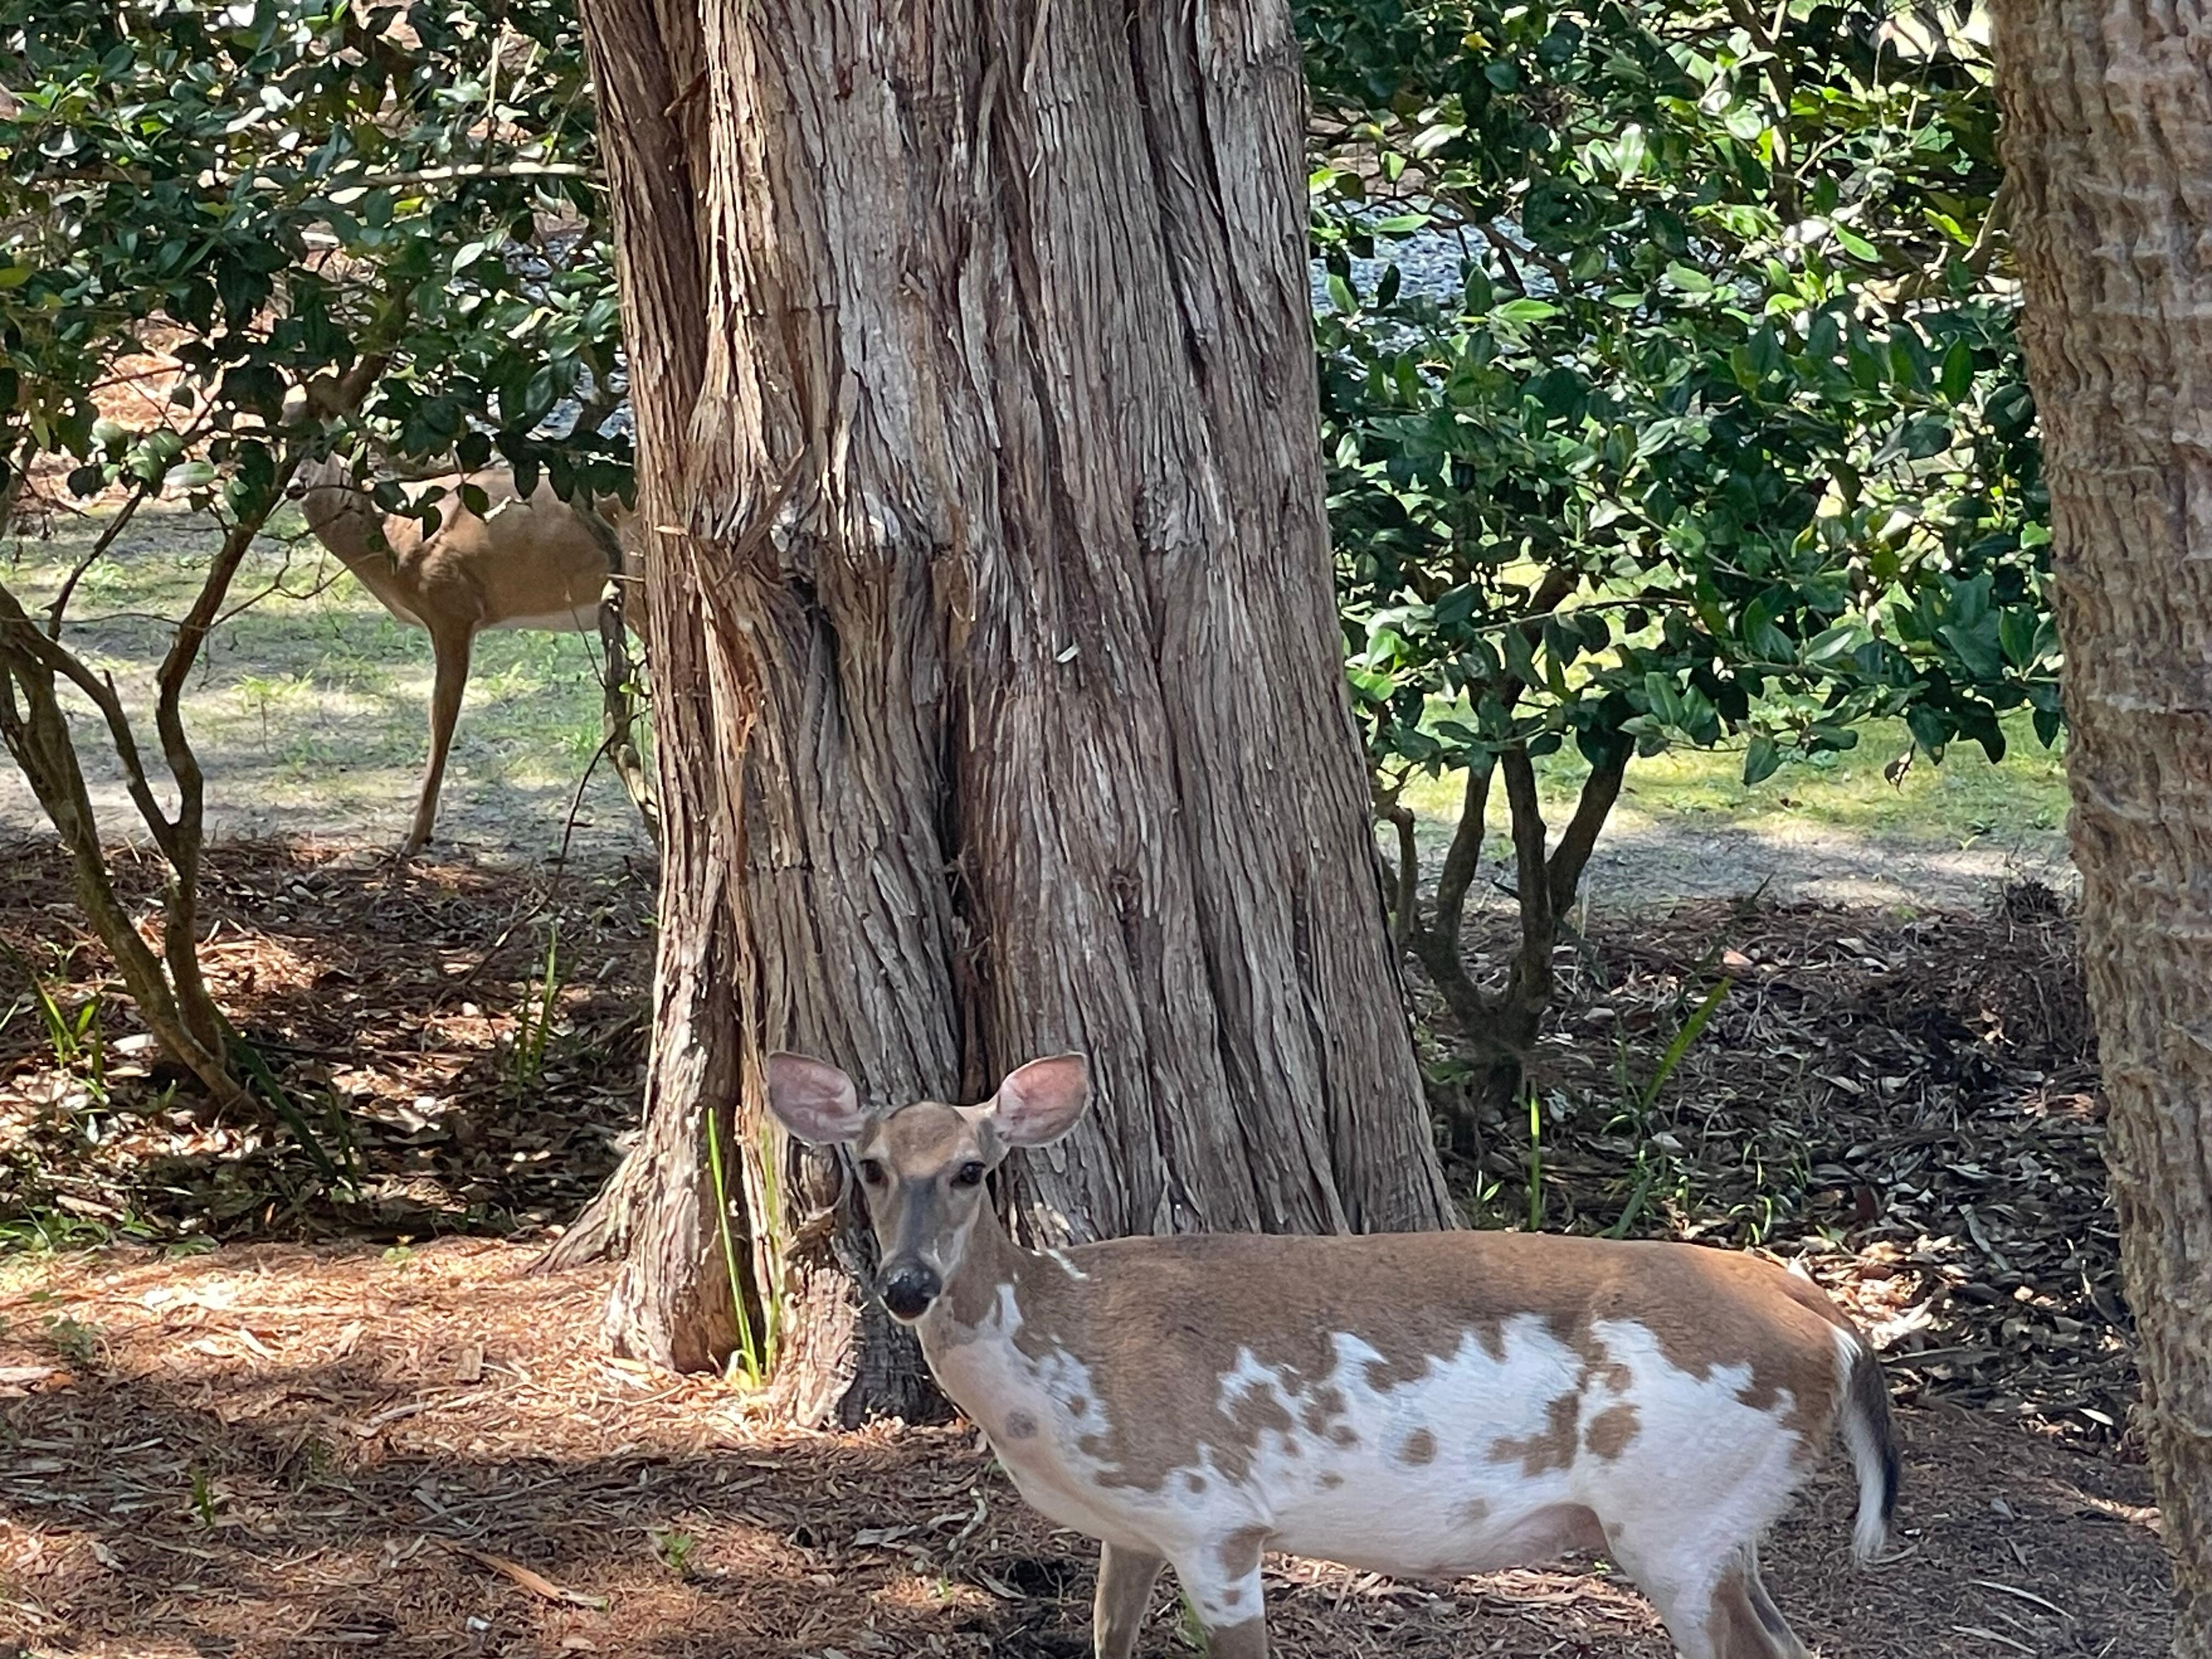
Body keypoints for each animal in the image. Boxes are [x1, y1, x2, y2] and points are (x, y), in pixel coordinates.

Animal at [766, 1051, 1902, 1659]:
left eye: (971, 1166)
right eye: (869, 1164)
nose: (907, 1284)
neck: (1059, 1358)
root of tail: (1831, 1321)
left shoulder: (1213, 1514)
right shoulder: (1130, 1526)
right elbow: (1105, 1638)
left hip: (1672, 1512)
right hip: (1720, 1518)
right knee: (1790, 1642)